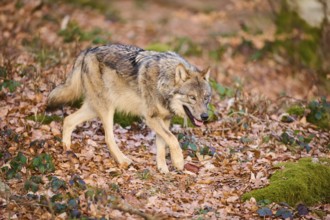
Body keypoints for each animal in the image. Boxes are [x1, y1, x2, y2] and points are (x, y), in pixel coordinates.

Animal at [46, 43, 211, 174]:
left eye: (206, 98)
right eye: (192, 97)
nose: (205, 116)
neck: (163, 80)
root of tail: (87, 50)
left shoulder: (164, 119)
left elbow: (162, 145)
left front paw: (162, 168)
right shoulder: (151, 118)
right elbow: (173, 139)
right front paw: (178, 162)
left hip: (93, 108)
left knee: (68, 120)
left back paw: (66, 147)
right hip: (107, 108)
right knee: (108, 137)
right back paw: (122, 160)